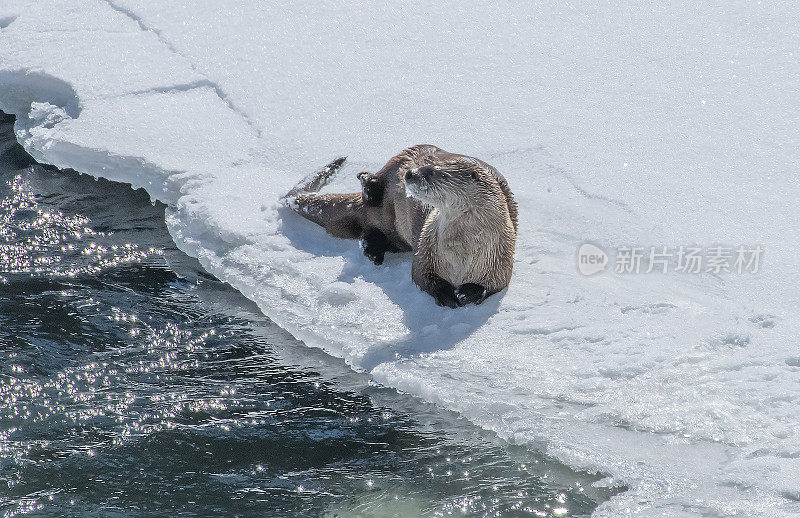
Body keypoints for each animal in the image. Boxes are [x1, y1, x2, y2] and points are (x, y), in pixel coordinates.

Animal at [282, 145, 520, 308]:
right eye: (424, 166)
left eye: (433, 172)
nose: (410, 173)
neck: (462, 251)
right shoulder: (425, 249)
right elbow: (422, 277)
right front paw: (447, 296)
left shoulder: (501, 258)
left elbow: (495, 285)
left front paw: (468, 293)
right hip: (401, 159)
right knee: (374, 188)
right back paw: (367, 185)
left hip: (398, 239)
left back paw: (373, 249)